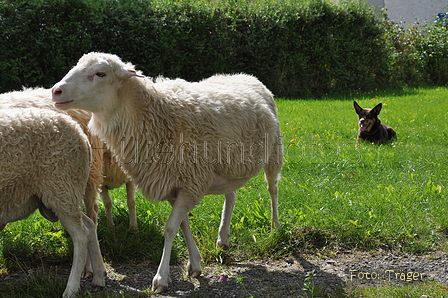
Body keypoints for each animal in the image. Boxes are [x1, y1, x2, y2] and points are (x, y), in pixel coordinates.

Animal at [0, 107, 106, 298]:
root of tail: (80, 132)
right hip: (63, 195)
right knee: (89, 225)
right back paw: (99, 278)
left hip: (62, 186)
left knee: (81, 235)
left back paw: (71, 288)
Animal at [51, 51, 284, 294]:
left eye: (100, 73)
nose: (56, 91)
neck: (152, 118)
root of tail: (245, 75)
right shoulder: (176, 184)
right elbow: (183, 224)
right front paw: (195, 264)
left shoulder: (191, 183)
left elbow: (171, 228)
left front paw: (161, 277)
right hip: (230, 167)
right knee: (231, 195)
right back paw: (223, 238)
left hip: (275, 150)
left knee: (273, 189)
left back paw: (275, 227)